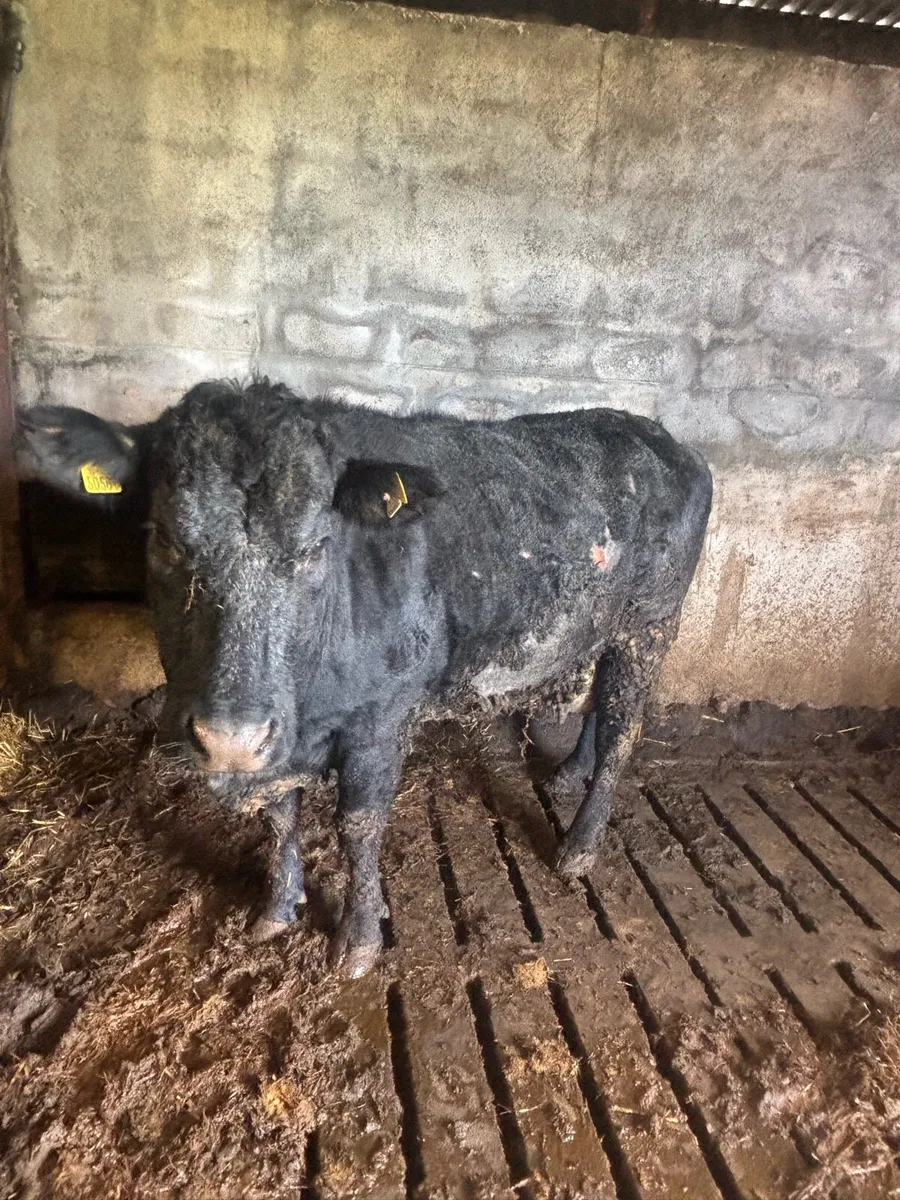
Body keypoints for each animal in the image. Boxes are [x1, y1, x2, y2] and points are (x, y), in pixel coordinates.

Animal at [16, 380, 712, 976]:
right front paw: (277, 910)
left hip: (652, 621)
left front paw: (357, 939)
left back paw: (580, 847)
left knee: (624, 726)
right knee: (600, 704)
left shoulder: (381, 719)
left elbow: (359, 825)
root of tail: (661, 436)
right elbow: (279, 814)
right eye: (163, 540)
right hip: (607, 628)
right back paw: (569, 774)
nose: (229, 739)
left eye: (315, 549)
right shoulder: (282, 735)